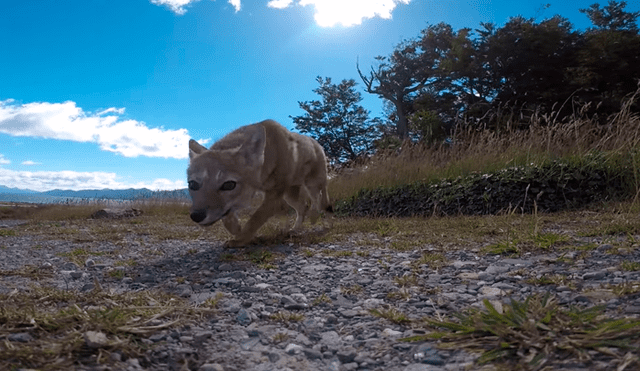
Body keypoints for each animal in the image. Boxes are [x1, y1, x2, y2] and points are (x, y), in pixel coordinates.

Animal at [188, 120, 332, 247]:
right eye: (192, 184)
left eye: (228, 185)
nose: (196, 216)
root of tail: (318, 144)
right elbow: (228, 219)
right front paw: (237, 230)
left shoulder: (274, 197)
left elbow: (255, 220)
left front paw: (240, 240)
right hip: (290, 196)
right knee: (303, 207)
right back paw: (294, 230)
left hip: (312, 186)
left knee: (318, 201)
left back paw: (319, 220)